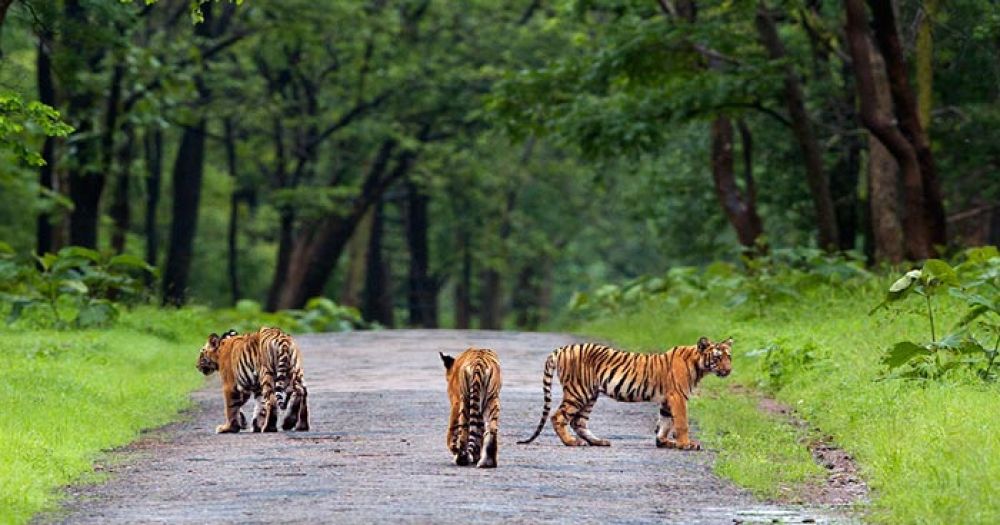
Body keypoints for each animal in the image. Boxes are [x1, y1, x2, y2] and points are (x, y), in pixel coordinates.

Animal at [520, 338, 732, 448]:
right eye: (717, 358)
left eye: (729, 357)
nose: (729, 370)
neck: (699, 365)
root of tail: (563, 348)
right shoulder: (678, 396)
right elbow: (681, 423)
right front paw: (686, 444)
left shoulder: (666, 400)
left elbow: (665, 422)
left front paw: (663, 441)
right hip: (578, 392)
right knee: (558, 416)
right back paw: (571, 442)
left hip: (590, 394)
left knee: (578, 421)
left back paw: (598, 441)